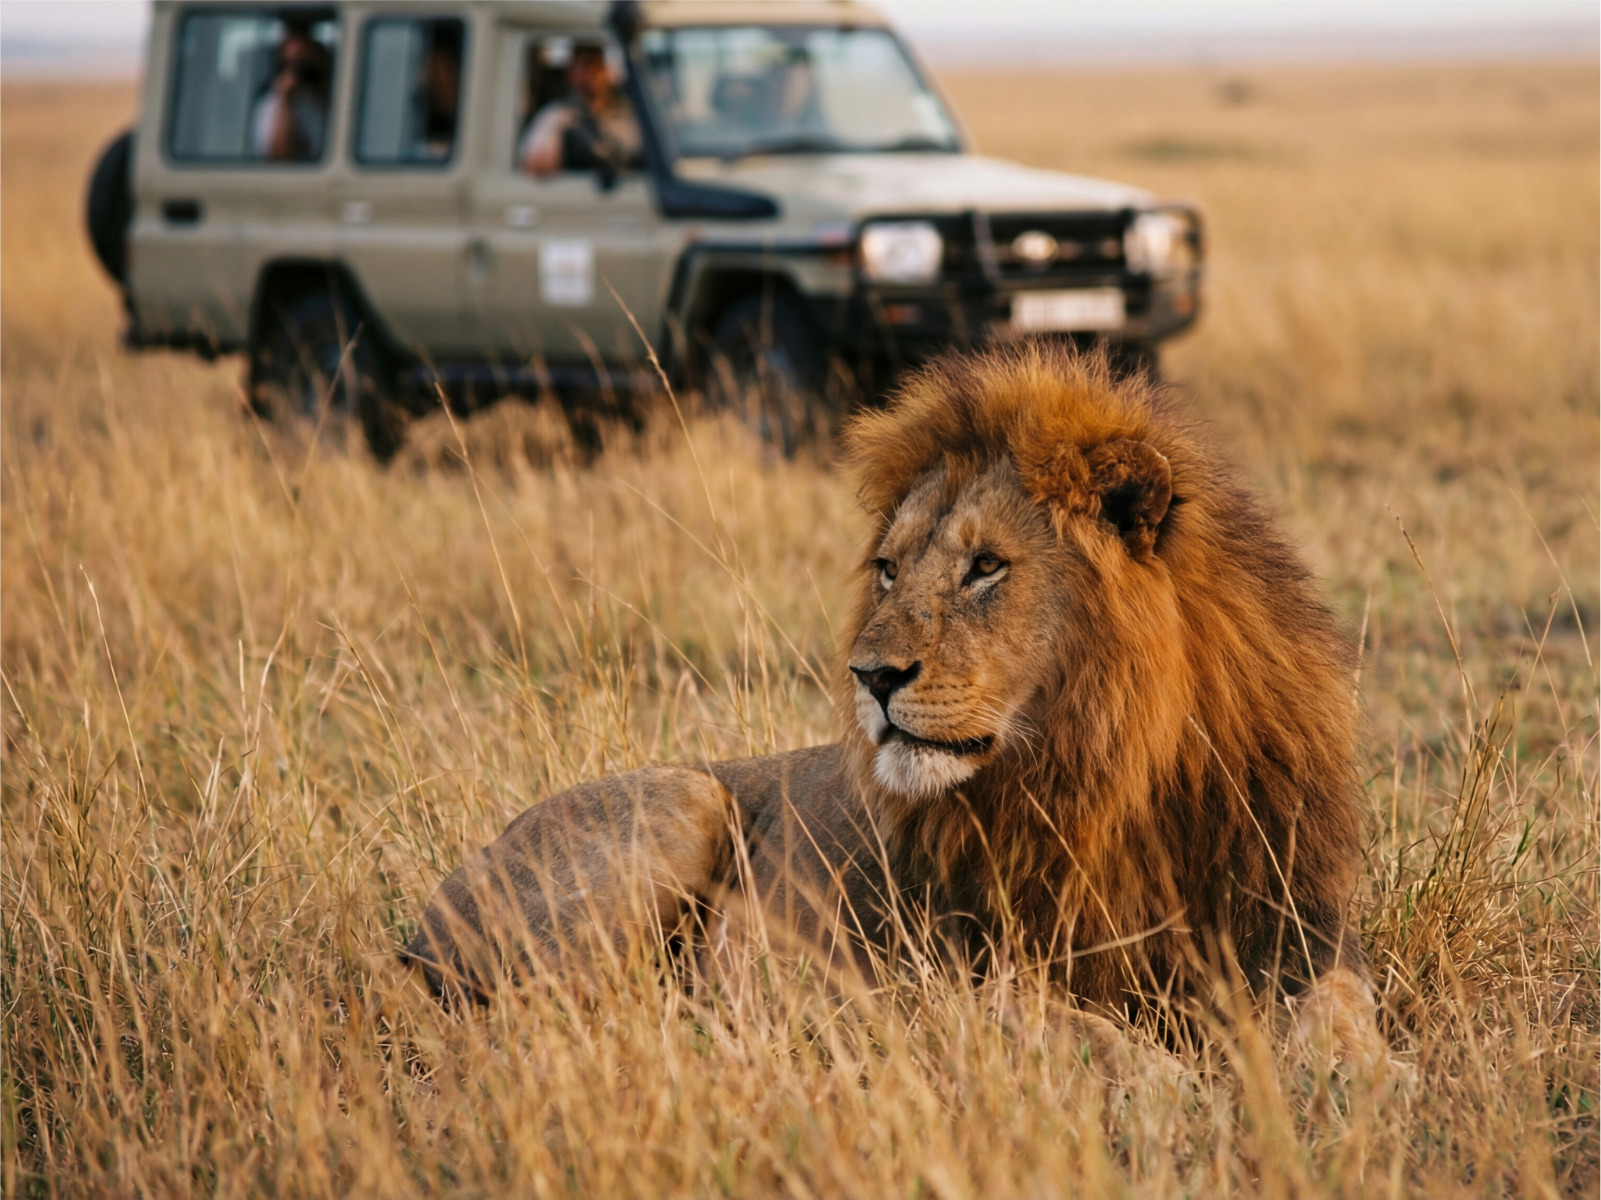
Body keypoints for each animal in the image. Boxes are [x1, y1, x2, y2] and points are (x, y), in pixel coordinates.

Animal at [404, 341, 1380, 1059]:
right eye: (887, 568)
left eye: (985, 566)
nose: (869, 676)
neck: (1108, 776)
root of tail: (417, 922)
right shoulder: (944, 979)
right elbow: (1081, 1032)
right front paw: (1168, 1082)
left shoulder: (1292, 930)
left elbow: (1343, 1008)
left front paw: (1359, 1079)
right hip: (680, 803)